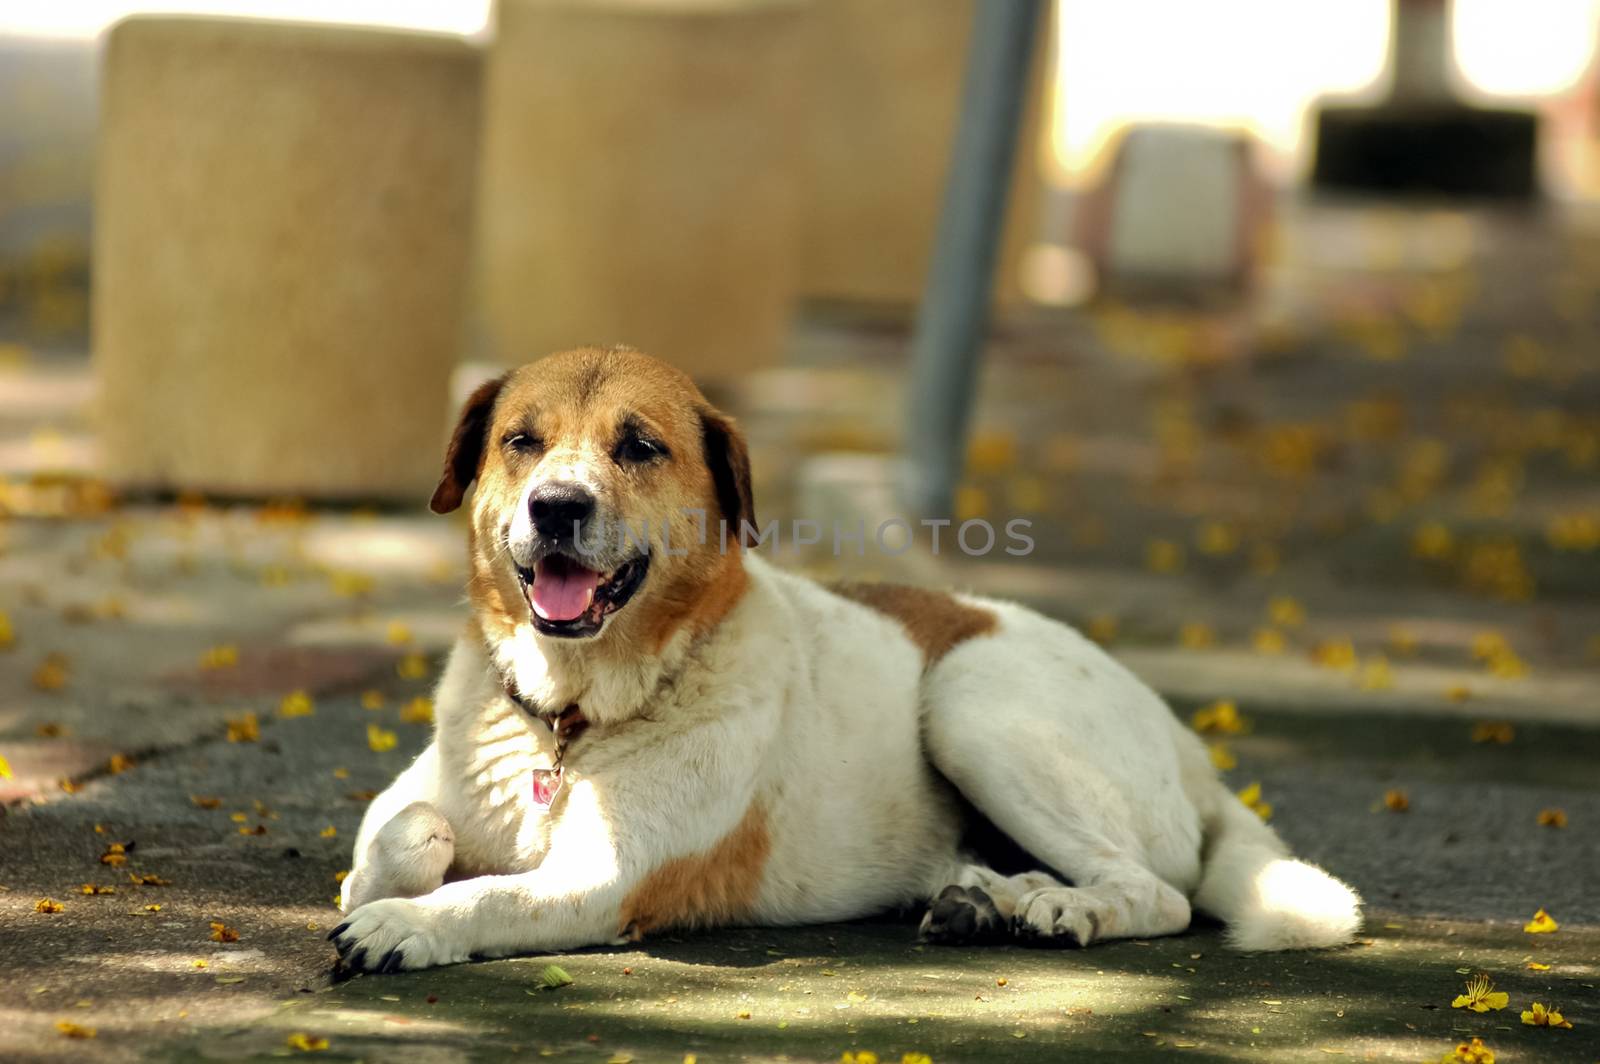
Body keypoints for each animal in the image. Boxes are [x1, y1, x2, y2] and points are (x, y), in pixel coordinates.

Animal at [331, 348, 1356, 972]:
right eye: (522, 440)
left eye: (640, 446)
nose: (556, 507)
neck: (570, 718)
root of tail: (1191, 750)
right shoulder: (413, 808)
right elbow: (410, 833)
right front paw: (390, 889)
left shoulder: (603, 881)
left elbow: (486, 898)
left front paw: (406, 925)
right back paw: (992, 898)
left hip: (972, 705)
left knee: (1156, 891)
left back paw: (1064, 911)